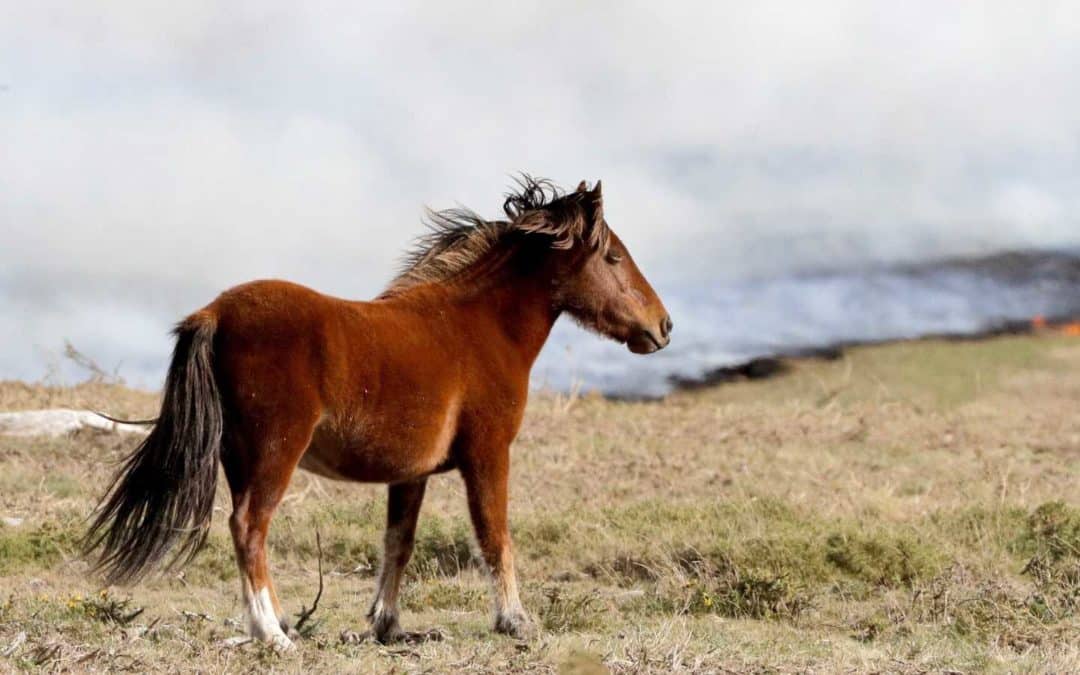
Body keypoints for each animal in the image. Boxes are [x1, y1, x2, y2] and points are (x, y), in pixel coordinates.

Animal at [84, 176, 669, 652]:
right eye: (613, 257)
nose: (662, 327)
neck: (477, 328)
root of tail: (214, 313)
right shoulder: (488, 454)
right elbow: (494, 535)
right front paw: (515, 621)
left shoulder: (410, 475)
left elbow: (398, 544)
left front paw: (389, 626)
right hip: (275, 453)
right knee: (249, 526)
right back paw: (273, 635)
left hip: (237, 458)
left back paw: (277, 625)